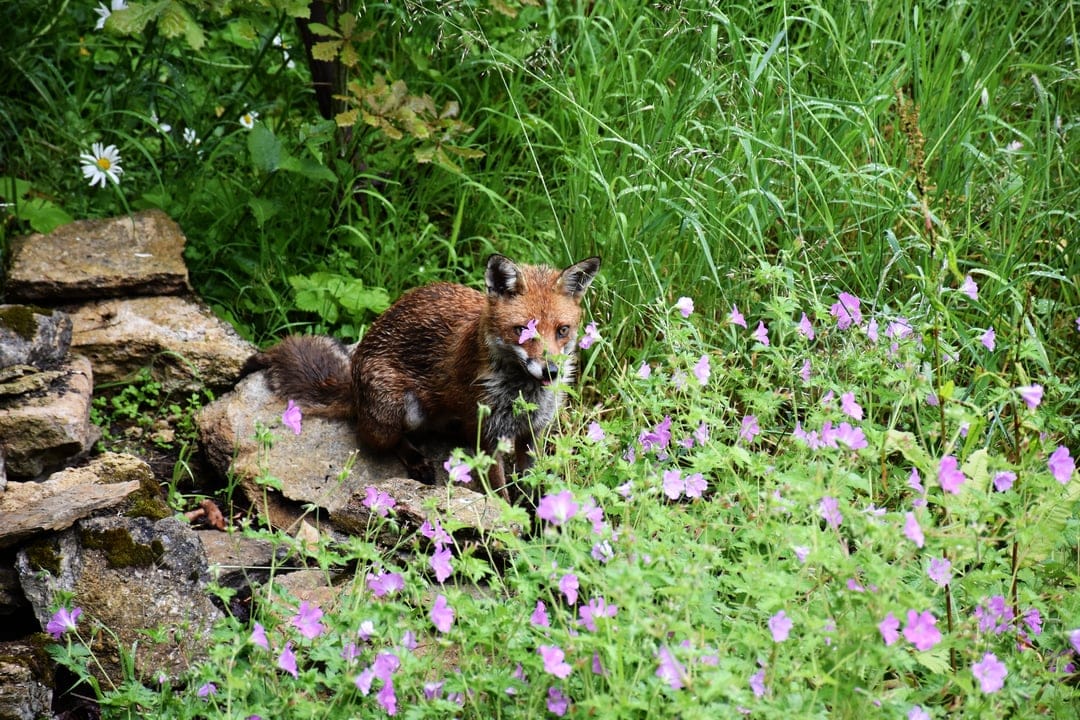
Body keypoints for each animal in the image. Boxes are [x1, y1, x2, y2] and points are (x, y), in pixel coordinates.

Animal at [245, 254, 601, 500]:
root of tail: (354, 384)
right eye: (523, 330)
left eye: (562, 330)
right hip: (399, 410)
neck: (521, 394)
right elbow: (501, 493)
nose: (551, 370)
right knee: (373, 437)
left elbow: (530, 486)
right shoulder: (489, 435)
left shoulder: (532, 434)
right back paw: (415, 459)